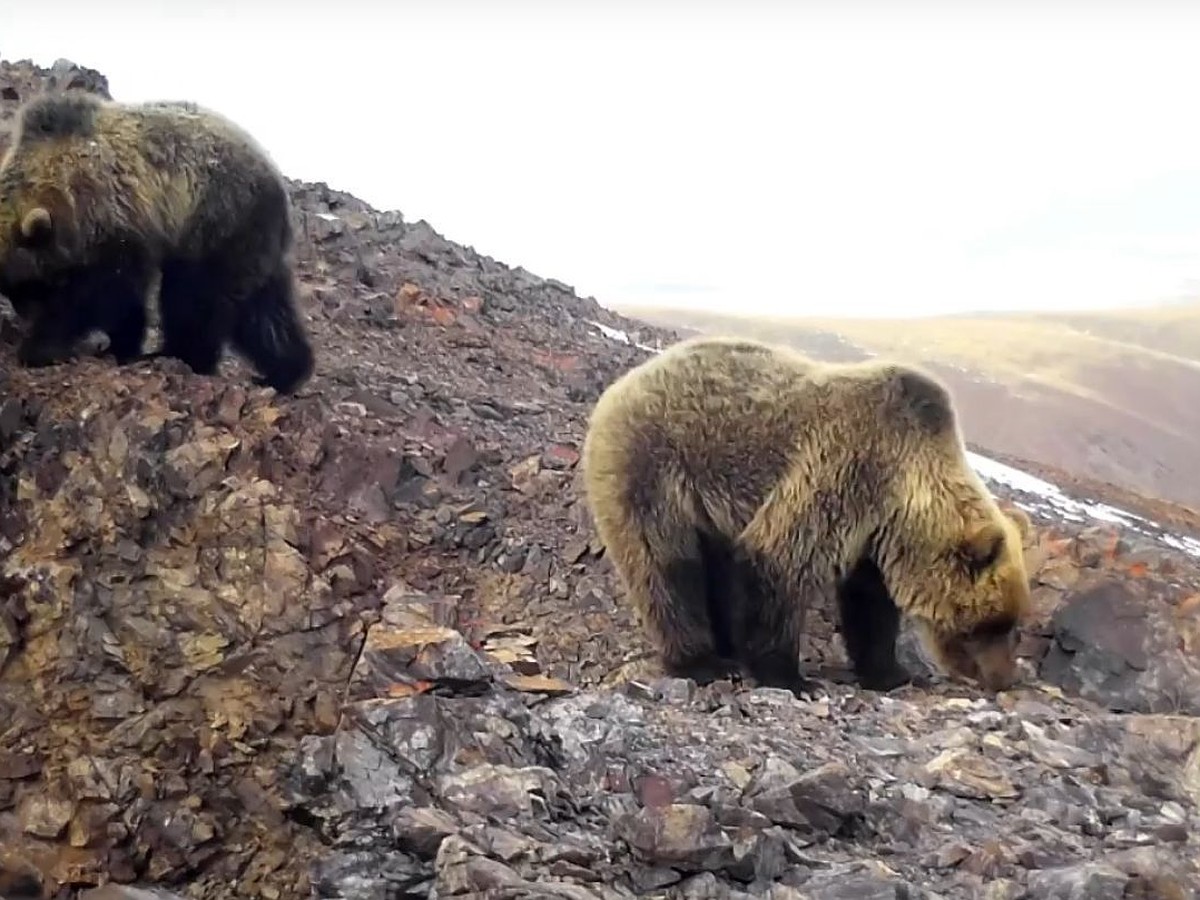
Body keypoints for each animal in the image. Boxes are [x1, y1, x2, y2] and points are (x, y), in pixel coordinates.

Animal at [0, 90, 314, 393]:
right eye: (12, 289)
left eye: (30, 283)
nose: (26, 313)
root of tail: (277, 180)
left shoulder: (117, 222)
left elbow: (105, 294)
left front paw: (41, 345)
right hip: (253, 244)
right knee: (265, 311)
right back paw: (285, 372)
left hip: (216, 222)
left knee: (195, 297)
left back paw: (181, 355)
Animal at [580, 336, 1032, 696]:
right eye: (990, 624)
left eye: (1012, 623)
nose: (1003, 679)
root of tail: (621, 385)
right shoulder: (847, 467)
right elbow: (780, 560)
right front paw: (792, 677)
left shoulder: (874, 535)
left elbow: (870, 607)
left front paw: (892, 672)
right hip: (653, 465)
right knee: (665, 566)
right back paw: (702, 661)